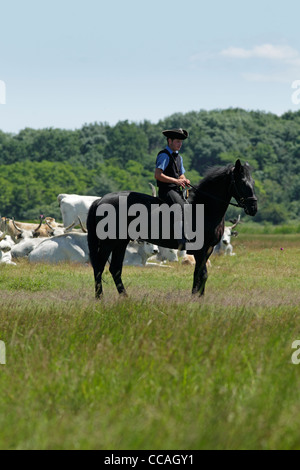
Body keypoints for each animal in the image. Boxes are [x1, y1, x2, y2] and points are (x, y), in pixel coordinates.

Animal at [85, 158, 256, 298]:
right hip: (108, 242)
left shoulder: (207, 249)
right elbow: (203, 274)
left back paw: (125, 297)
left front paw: (196, 297)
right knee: (99, 267)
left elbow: (198, 274)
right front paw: (198, 299)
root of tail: (100, 200)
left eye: (252, 182)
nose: (253, 208)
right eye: (242, 182)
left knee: (115, 268)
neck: (205, 208)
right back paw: (100, 297)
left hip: (121, 242)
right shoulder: (201, 250)